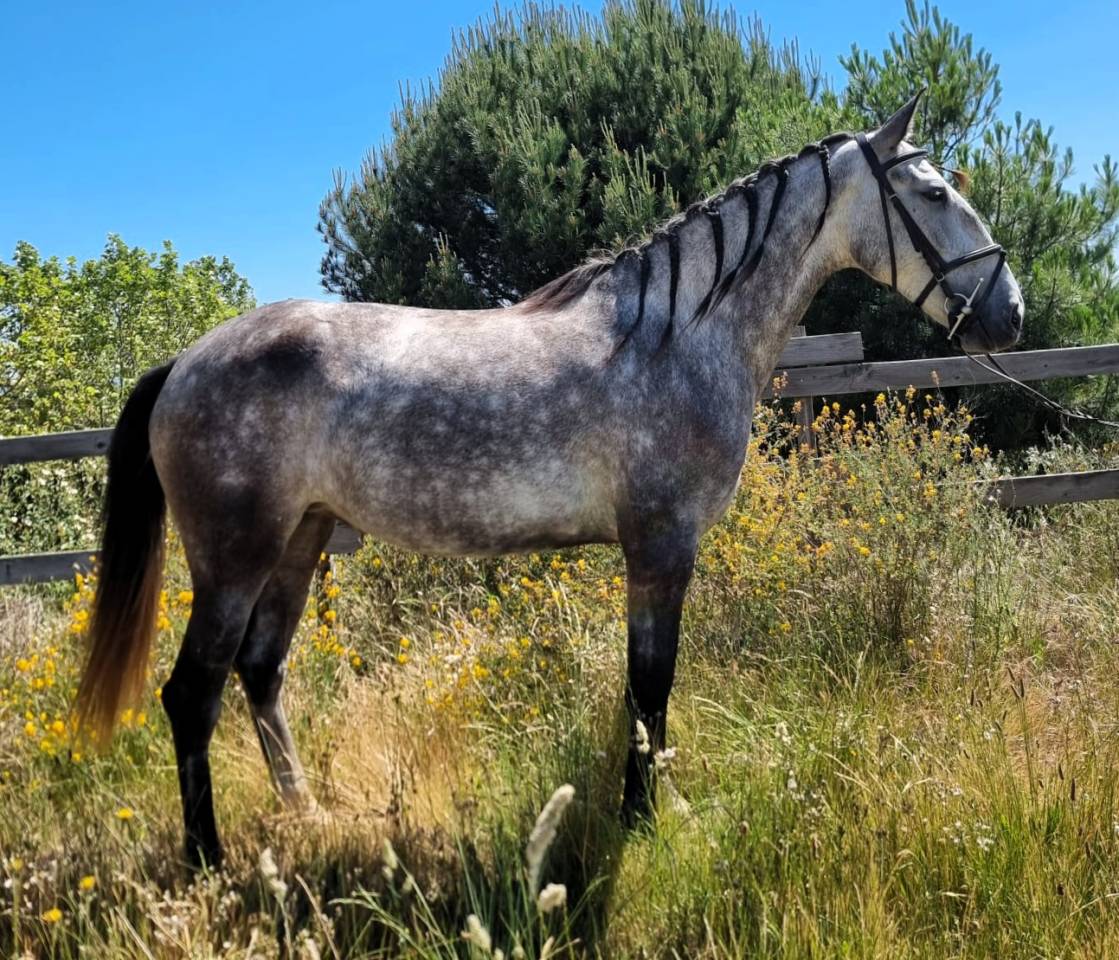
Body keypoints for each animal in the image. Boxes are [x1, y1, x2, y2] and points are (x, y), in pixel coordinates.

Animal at [75, 92, 1024, 868]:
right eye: (932, 195)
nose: (1009, 313)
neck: (679, 334)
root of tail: (186, 362)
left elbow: (644, 690)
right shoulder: (660, 547)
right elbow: (649, 684)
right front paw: (646, 816)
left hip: (299, 541)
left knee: (261, 673)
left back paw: (308, 815)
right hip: (233, 557)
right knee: (191, 694)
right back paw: (209, 859)